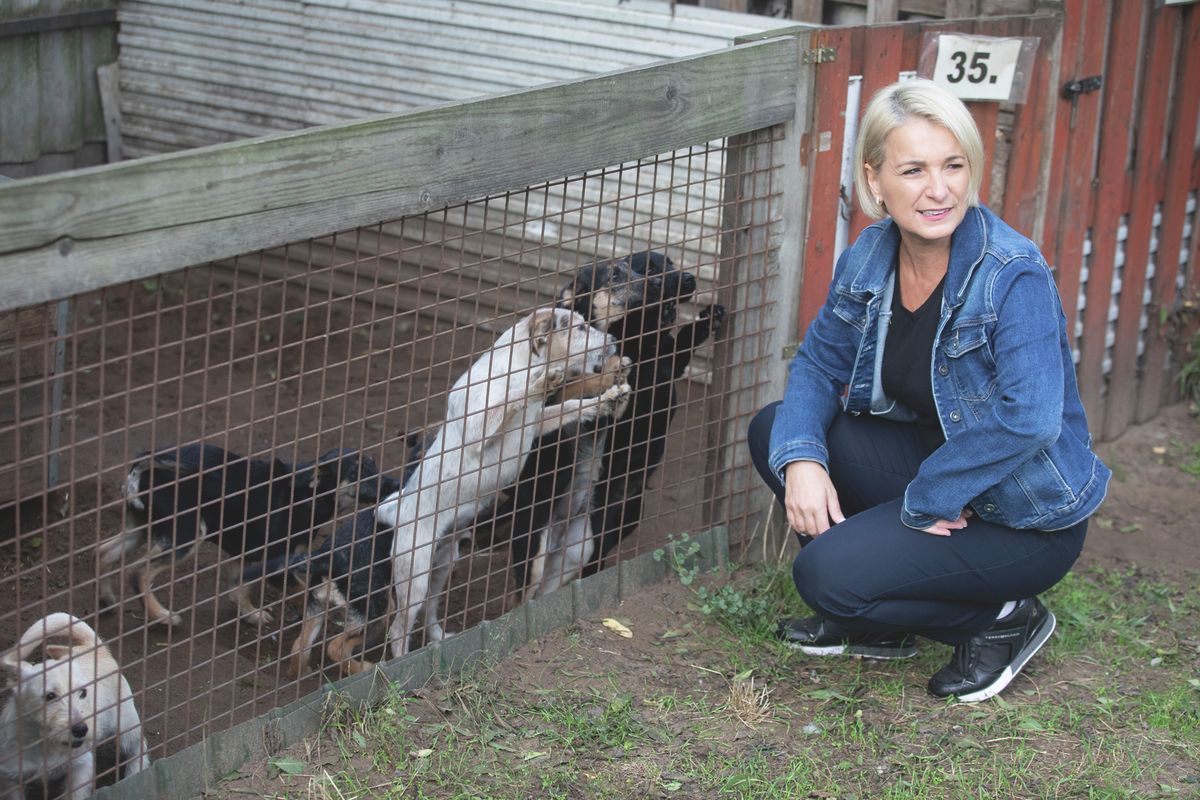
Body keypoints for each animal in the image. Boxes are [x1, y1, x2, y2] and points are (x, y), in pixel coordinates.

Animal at [1, 618, 150, 796]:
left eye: (83, 693)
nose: (81, 729)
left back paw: (135, 773)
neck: (45, 745)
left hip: (126, 724)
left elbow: (76, 793)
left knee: (138, 745)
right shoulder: (10, 778)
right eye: (50, 696)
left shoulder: (82, 765)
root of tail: (95, 649)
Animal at [101, 443, 388, 623]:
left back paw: (107, 601)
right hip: (186, 533)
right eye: (357, 472)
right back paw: (161, 615)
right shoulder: (276, 565)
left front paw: (251, 615)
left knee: (104, 552)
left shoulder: (250, 557)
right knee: (138, 572)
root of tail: (143, 470)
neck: (308, 496)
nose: (392, 482)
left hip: (139, 526)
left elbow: (239, 590)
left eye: (374, 463)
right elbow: (301, 590)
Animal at [381, 307, 628, 657]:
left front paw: (606, 399)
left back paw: (440, 639)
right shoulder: (478, 426)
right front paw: (541, 384)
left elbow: (571, 407)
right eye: (580, 327)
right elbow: (512, 399)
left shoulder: (538, 424)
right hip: (414, 575)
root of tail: (397, 510)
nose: (614, 338)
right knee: (398, 630)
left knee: (431, 607)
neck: (521, 367)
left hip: (444, 565)